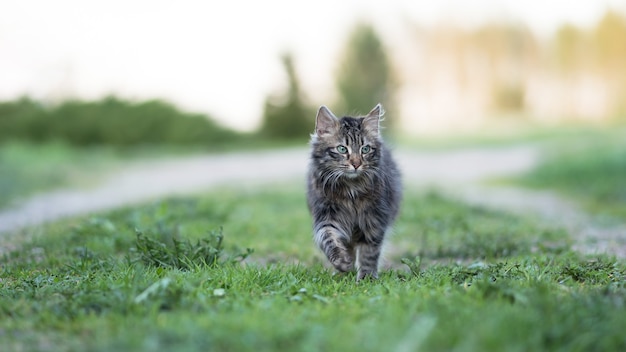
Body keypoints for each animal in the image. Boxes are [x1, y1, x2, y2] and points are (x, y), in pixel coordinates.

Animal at [306, 103, 402, 282]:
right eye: (342, 149)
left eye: (365, 149)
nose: (356, 164)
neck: (351, 189)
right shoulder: (326, 216)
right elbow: (329, 239)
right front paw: (342, 261)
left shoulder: (374, 221)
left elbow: (368, 253)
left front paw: (367, 277)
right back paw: (343, 271)